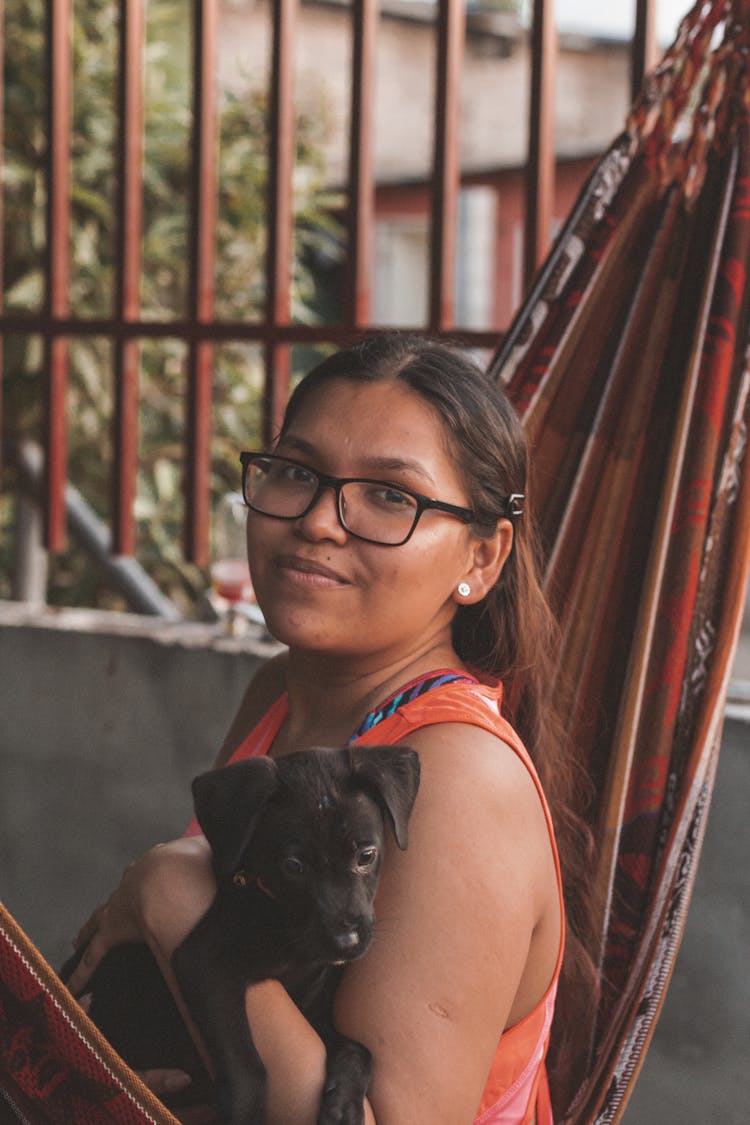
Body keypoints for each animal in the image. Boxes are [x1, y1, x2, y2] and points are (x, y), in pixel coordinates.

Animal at [61, 747, 420, 1125]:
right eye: (293, 866)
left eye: (366, 855)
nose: (345, 943)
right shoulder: (205, 962)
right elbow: (249, 1071)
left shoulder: (311, 1015)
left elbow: (358, 1049)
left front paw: (345, 1106)